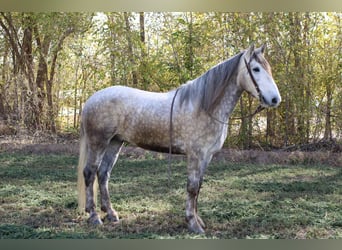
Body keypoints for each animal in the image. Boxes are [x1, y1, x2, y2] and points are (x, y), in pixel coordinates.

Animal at [77, 44, 280, 233]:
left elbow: (198, 187)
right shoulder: (196, 155)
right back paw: (94, 215)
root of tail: (91, 100)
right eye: (256, 69)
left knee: (103, 174)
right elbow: (192, 187)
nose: (275, 99)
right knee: (90, 173)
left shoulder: (206, 156)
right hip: (98, 142)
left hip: (115, 142)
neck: (205, 107)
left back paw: (110, 213)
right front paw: (192, 223)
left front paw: (198, 220)